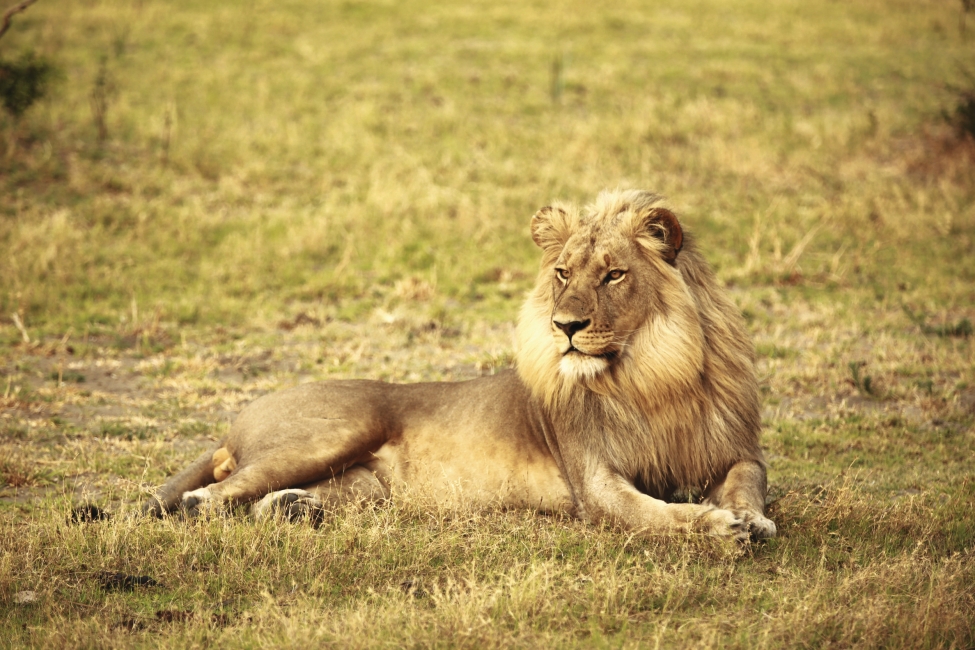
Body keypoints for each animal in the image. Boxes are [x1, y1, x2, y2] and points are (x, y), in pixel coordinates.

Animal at [142, 189, 775, 540]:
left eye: (614, 274)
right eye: (563, 273)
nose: (565, 327)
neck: (651, 374)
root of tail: (233, 424)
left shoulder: (737, 451)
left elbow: (749, 484)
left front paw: (751, 518)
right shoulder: (596, 487)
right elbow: (662, 515)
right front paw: (720, 525)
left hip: (365, 485)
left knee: (269, 502)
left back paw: (298, 509)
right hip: (336, 430)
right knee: (215, 495)